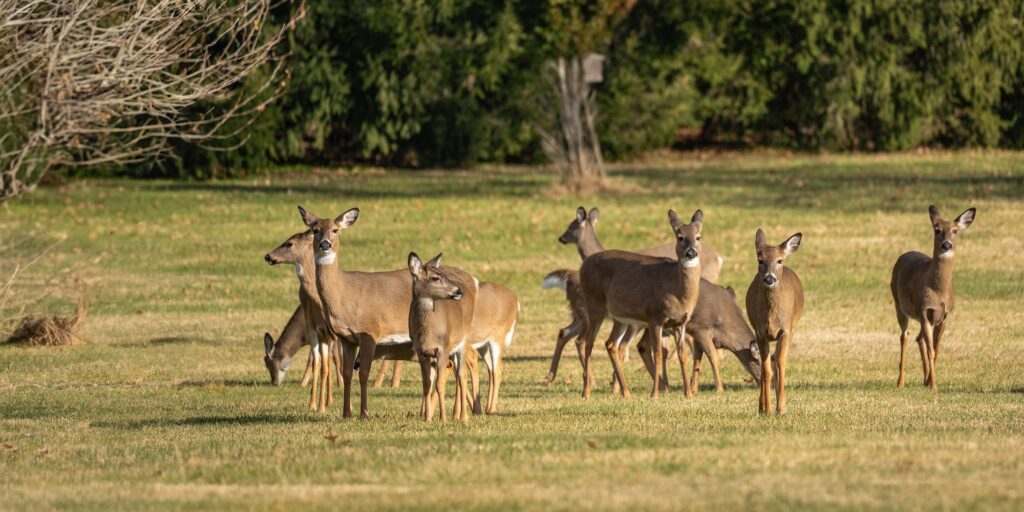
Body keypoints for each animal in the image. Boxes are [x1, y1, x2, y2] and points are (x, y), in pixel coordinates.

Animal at [407, 252, 477, 422]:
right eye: (434, 278)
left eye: (443, 275)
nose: (458, 291)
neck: (428, 333)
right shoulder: (421, 351)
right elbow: (427, 384)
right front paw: (427, 418)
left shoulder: (443, 348)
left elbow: (439, 384)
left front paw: (442, 418)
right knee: (458, 375)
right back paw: (456, 415)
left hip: (463, 342)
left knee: (462, 375)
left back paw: (463, 416)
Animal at [578, 209, 705, 399]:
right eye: (680, 237)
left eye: (698, 237)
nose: (691, 253)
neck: (676, 291)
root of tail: (583, 265)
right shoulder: (655, 318)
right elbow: (658, 354)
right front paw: (654, 394)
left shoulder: (680, 322)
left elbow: (683, 355)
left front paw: (688, 394)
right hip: (594, 304)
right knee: (588, 342)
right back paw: (586, 393)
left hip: (619, 317)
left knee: (610, 344)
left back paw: (626, 392)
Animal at [745, 229, 803, 415]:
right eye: (760, 260)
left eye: (779, 260)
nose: (769, 279)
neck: (771, 317)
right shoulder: (760, 332)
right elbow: (766, 370)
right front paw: (767, 409)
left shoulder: (786, 330)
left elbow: (780, 365)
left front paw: (781, 408)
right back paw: (761, 406)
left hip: (792, 328)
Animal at [892, 205, 976, 391]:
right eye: (937, 230)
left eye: (955, 231)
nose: (947, 244)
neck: (938, 291)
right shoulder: (924, 310)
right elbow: (931, 350)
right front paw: (934, 386)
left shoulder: (944, 315)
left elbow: (936, 350)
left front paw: (930, 382)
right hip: (899, 304)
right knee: (904, 336)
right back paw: (900, 382)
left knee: (918, 338)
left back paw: (924, 379)